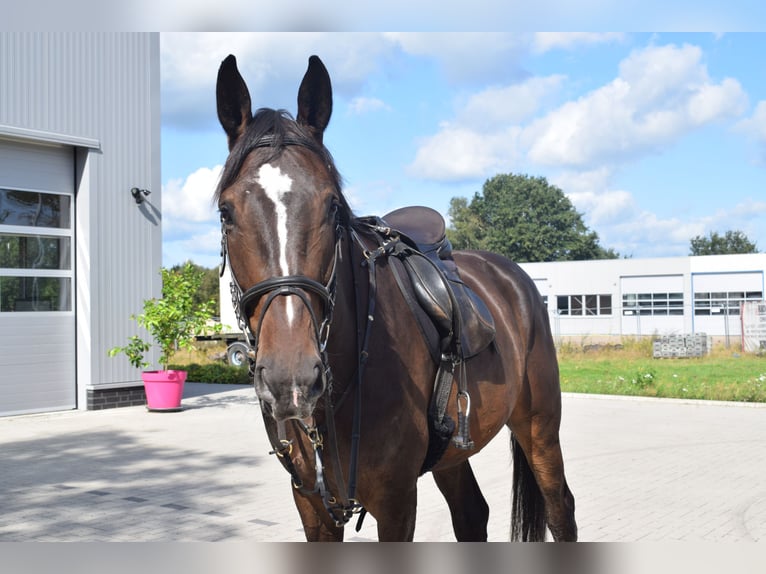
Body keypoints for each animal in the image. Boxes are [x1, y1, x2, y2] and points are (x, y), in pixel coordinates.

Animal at [214, 54, 576, 544]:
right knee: (471, 513)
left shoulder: (397, 500)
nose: (292, 377)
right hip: (453, 452)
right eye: (226, 212)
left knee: (560, 510)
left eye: (333, 206)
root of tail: (514, 276)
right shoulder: (312, 504)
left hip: (539, 428)